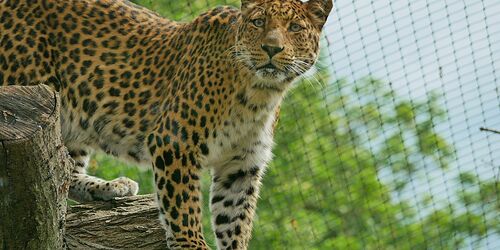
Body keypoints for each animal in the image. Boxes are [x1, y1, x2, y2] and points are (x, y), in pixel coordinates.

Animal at [1, 0, 334, 248]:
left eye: (294, 28)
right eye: (258, 22)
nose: (272, 48)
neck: (260, 92)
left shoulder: (241, 166)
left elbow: (234, 222)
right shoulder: (175, 142)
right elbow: (184, 210)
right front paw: (192, 243)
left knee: (65, 171)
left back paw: (113, 187)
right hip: (32, 83)